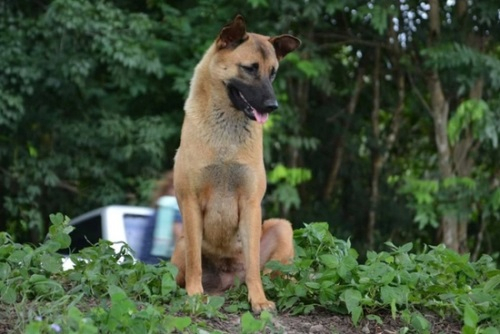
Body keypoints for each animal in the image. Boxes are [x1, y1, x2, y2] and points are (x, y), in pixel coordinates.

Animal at [171, 15, 300, 314]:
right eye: (250, 69)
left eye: (272, 73)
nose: (273, 106)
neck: (226, 136)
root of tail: (229, 281)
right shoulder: (191, 202)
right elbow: (195, 263)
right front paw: (195, 296)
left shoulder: (251, 204)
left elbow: (253, 267)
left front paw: (259, 300)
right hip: (180, 246)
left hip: (282, 228)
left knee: (274, 273)